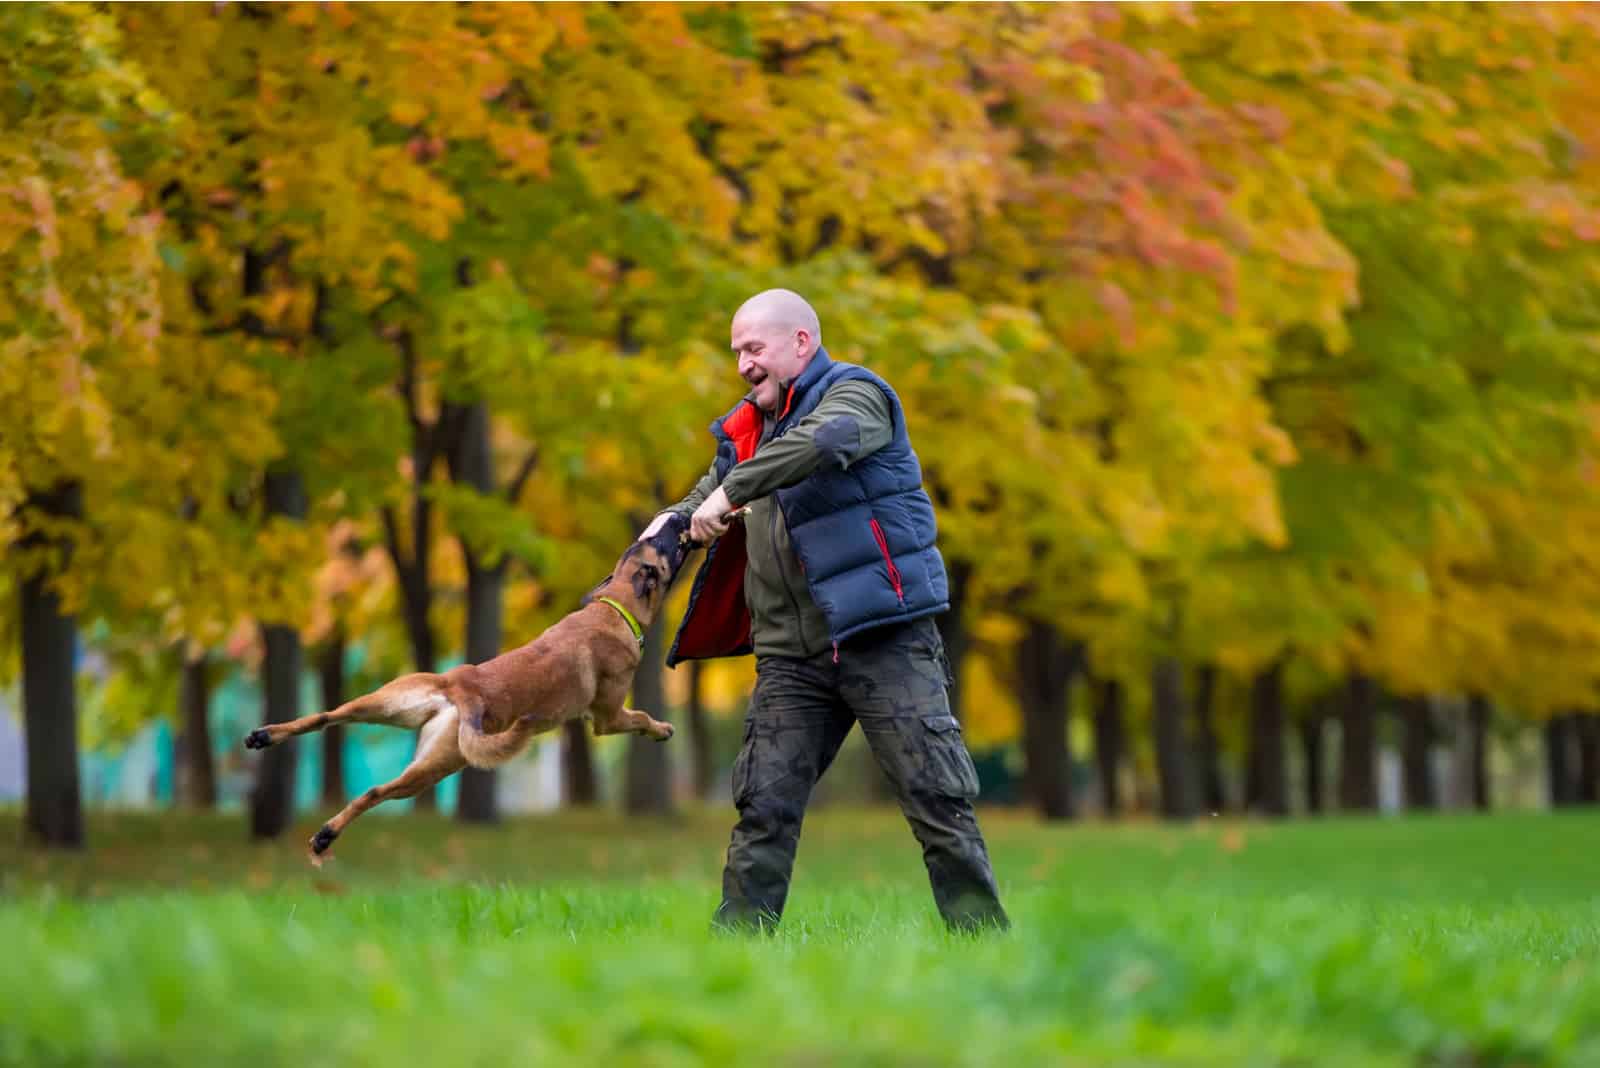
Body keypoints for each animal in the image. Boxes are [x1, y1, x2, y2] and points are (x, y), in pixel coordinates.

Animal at [241, 511, 700, 863]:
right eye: (662, 543)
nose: (678, 518)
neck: (616, 606)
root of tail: (461, 689)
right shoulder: (608, 717)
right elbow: (640, 716)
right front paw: (662, 729)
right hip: (437, 766)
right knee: (374, 791)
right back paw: (326, 835)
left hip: (383, 705)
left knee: (325, 718)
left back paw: (267, 741)